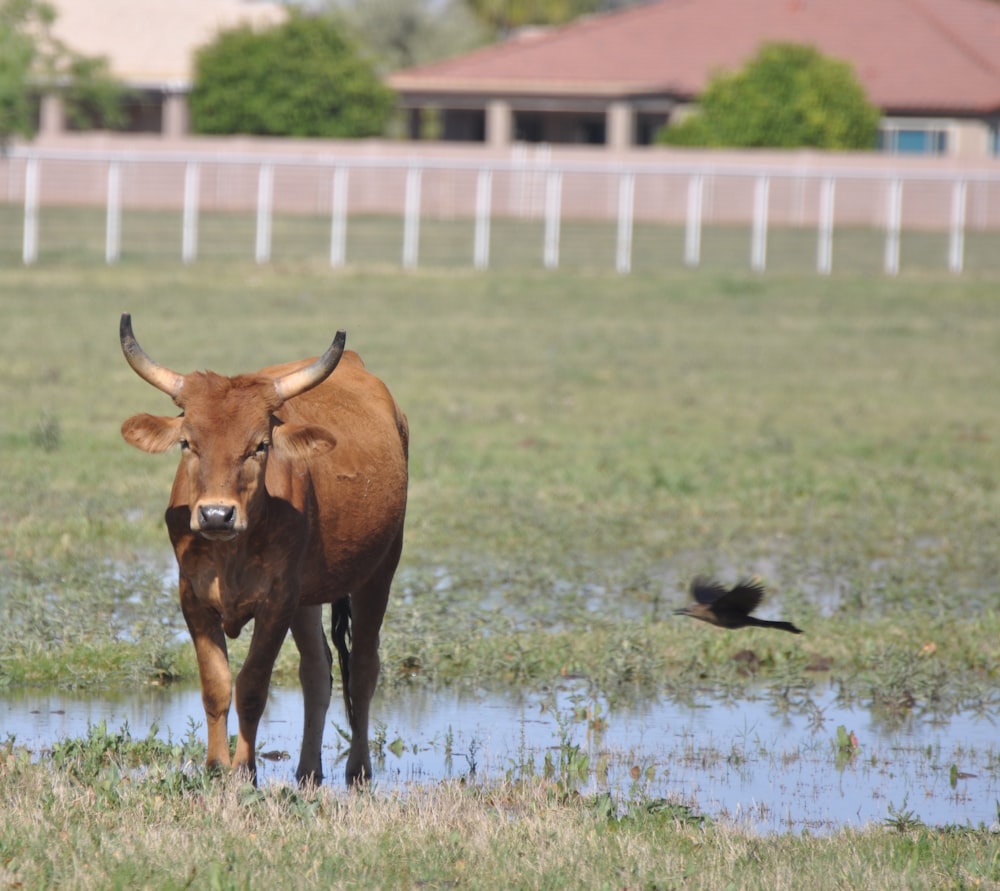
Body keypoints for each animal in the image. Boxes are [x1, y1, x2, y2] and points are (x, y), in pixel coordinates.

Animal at [119, 316, 408, 788]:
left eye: (260, 445)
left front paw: (244, 771)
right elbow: (216, 684)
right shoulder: (192, 597)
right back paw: (308, 770)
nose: (216, 514)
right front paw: (215, 766)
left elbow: (252, 685)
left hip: (378, 573)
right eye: (187, 443)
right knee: (317, 671)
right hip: (307, 599)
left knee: (363, 669)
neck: (230, 554)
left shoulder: (277, 601)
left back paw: (358, 770)